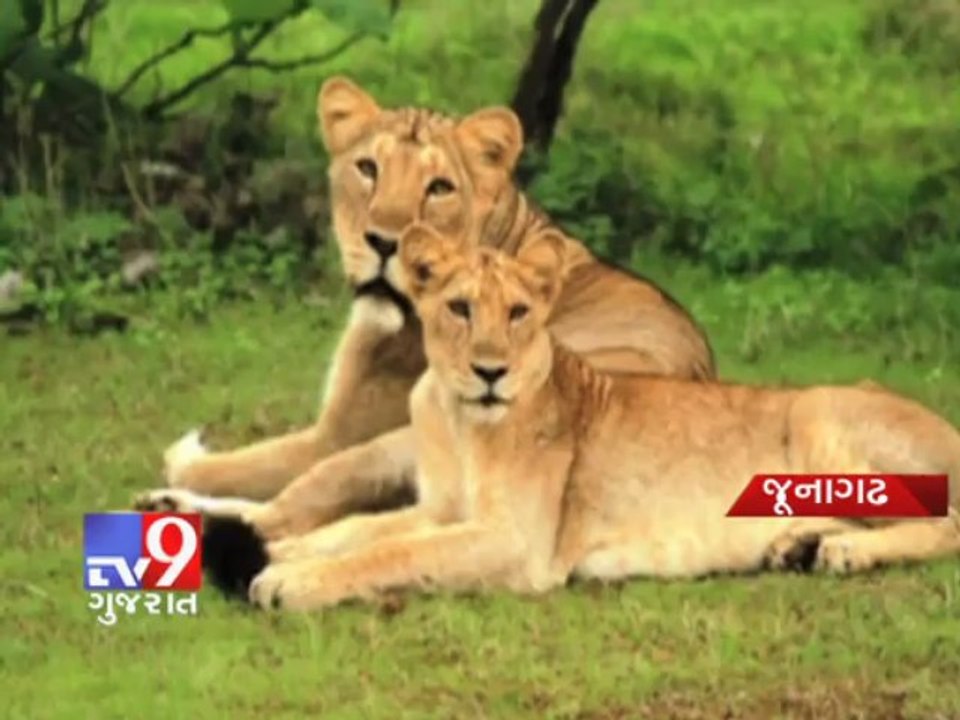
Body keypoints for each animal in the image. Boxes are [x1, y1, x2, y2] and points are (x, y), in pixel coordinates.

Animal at [139, 224, 960, 611]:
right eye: (459, 309)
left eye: (520, 313)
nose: (490, 370)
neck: (458, 417)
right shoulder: (441, 507)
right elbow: (359, 532)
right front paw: (287, 555)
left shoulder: (515, 543)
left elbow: (388, 554)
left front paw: (288, 580)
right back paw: (797, 543)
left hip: (822, 413)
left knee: (946, 522)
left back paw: (843, 551)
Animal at [161, 76, 715, 516]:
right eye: (368, 169)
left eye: (439, 188)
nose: (385, 243)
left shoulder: (335, 434)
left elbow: (218, 466)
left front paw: (189, 457)